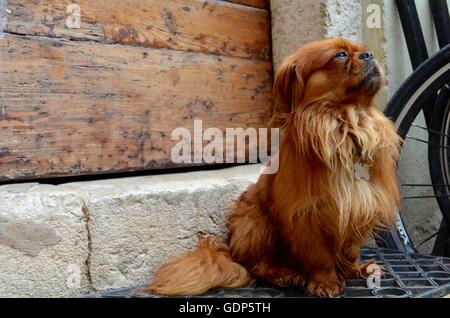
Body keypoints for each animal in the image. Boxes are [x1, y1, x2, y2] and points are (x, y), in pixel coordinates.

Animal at [147, 38, 400, 296]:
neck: (349, 125)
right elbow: (320, 258)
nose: (369, 55)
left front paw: (354, 269)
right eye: (340, 55)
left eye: (361, 50)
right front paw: (325, 282)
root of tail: (231, 253)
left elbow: (350, 250)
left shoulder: (359, 207)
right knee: (258, 266)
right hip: (254, 222)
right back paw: (285, 275)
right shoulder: (306, 217)